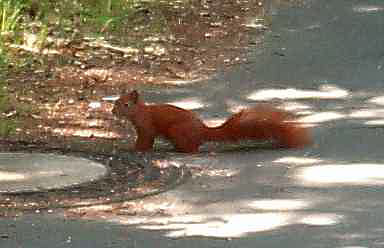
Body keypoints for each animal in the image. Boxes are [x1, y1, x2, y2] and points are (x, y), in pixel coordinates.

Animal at [112, 90, 310, 153]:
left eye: (126, 104)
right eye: (115, 101)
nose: (113, 111)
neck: (140, 111)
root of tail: (202, 131)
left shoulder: (146, 127)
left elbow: (145, 140)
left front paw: (135, 149)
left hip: (178, 131)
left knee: (192, 149)